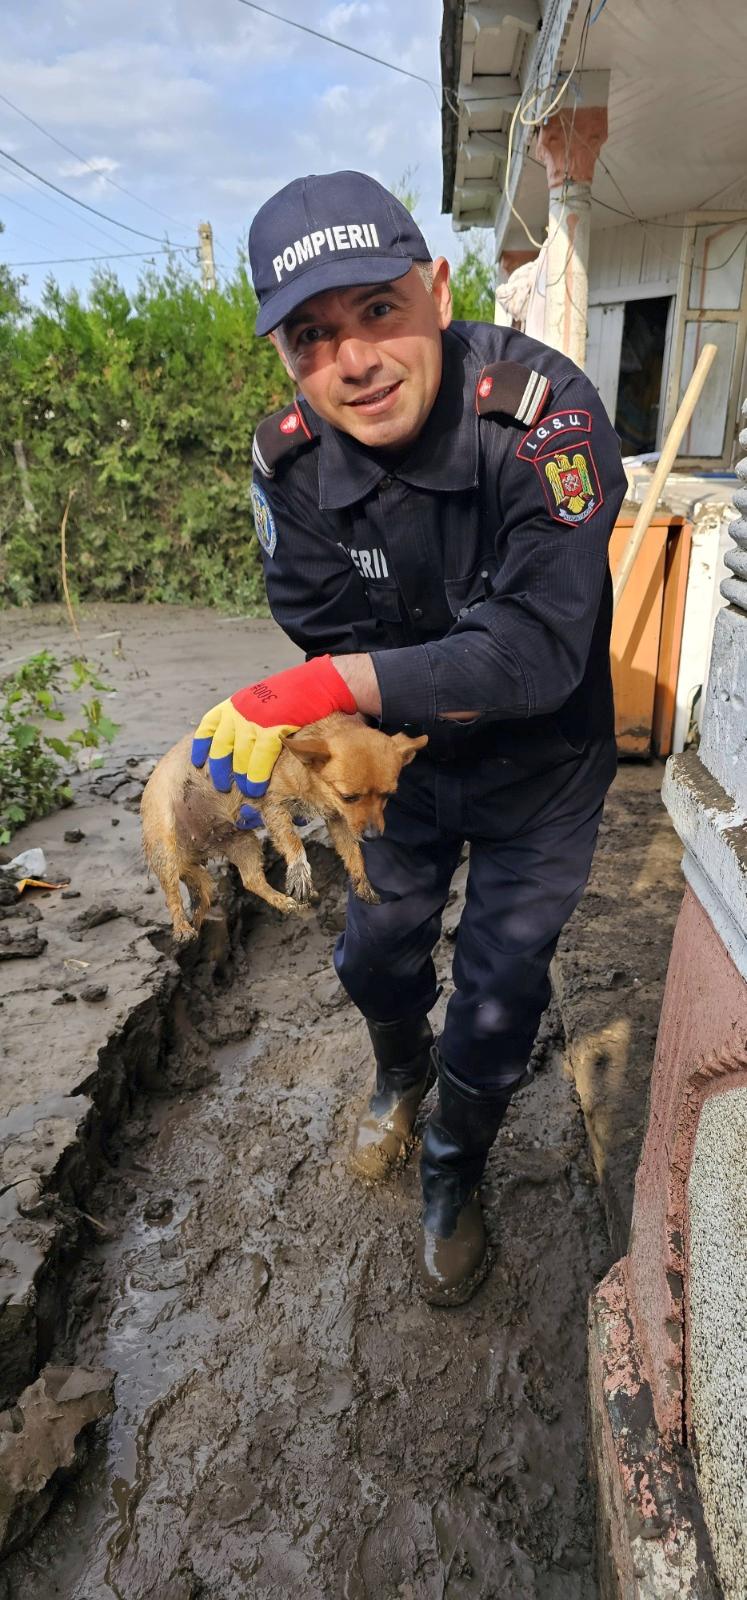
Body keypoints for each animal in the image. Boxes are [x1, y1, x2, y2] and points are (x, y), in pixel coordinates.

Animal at [137, 713, 425, 934]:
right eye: (349, 797)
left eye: (389, 795)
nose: (374, 836)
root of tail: (195, 850)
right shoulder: (274, 808)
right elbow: (293, 841)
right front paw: (300, 871)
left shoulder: (338, 820)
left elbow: (353, 854)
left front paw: (362, 882)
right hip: (165, 845)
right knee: (172, 894)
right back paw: (182, 928)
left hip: (243, 841)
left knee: (251, 880)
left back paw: (284, 902)